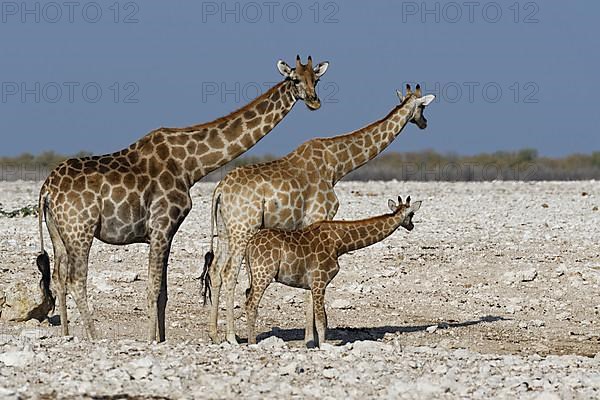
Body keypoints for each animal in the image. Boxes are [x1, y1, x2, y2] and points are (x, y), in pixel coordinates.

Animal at [30, 54, 330, 340]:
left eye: (316, 79)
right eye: (294, 79)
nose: (315, 101)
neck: (190, 165)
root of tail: (47, 189)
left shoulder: (167, 232)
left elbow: (163, 291)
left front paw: (162, 339)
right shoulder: (161, 227)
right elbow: (152, 289)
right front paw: (151, 340)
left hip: (59, 233)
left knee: (59, 277)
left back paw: (67, 334)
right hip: (81, 230)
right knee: (76, 280)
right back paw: (93, 338)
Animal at [244, 195, 422, 346]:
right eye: (412, 214)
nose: (411, 226)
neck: (340, 243)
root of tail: (249, 245)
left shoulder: (313, 284)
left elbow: (318, 318)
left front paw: (313, 344)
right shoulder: (319, 281)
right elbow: (321, 321)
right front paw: (323, 347)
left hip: (253, 275)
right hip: (264, 274)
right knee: (251, 304)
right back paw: (252, 344)